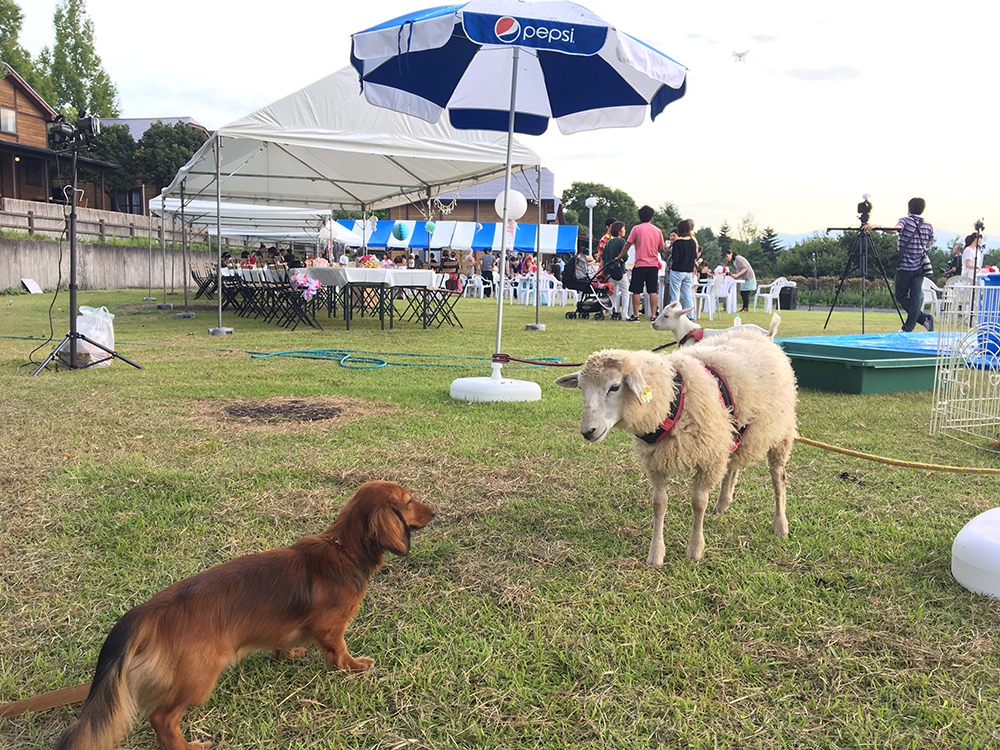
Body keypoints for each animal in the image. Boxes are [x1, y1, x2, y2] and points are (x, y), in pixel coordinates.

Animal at [556, 328, 796, 564]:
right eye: (581, 389)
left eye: (614, 387)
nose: (588, 431)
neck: (673, 397)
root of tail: (762, 336)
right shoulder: (656, 461)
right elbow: (659, 504)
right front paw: (656, 553)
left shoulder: (709, 458)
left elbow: (698, 503)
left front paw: (695, 550)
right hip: (734, 435)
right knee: (732, 467)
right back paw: (723, 503)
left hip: (781, 435)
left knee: (778, 479)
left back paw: (780, 525)